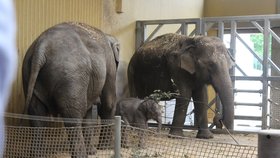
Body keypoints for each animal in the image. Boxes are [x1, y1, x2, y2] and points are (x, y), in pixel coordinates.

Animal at [21, 21, 119, 157]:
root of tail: (42, 46)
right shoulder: (109, 63)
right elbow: (108, 103)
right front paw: (104, 149)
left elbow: (89, 112)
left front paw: (93, 151)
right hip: (71, 77)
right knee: (72, 117)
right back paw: (81, 155)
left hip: (28, 72)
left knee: (36, 115)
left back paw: (38, 155)